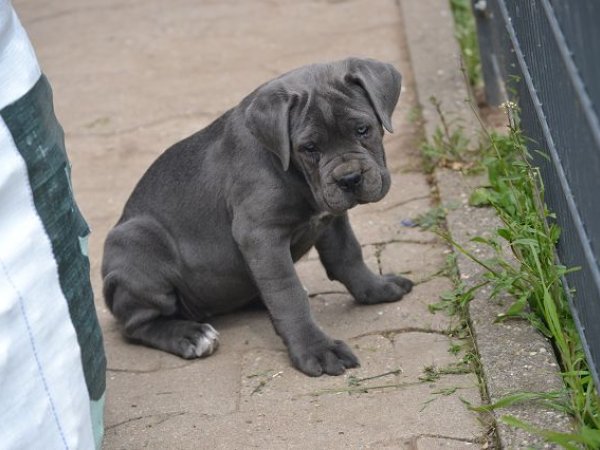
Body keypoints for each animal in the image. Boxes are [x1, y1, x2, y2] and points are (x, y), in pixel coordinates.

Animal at [102, 57, 413, 377]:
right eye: (309, 148)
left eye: (363, 129)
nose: (349, 179)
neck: (291, 169)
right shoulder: (260, 235)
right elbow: (288, 294)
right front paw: (317, 350)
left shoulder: (331, 217)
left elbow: (348, 254)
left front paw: (376, 288)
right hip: (138, 242)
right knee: (137, 324)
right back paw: (190, 335)